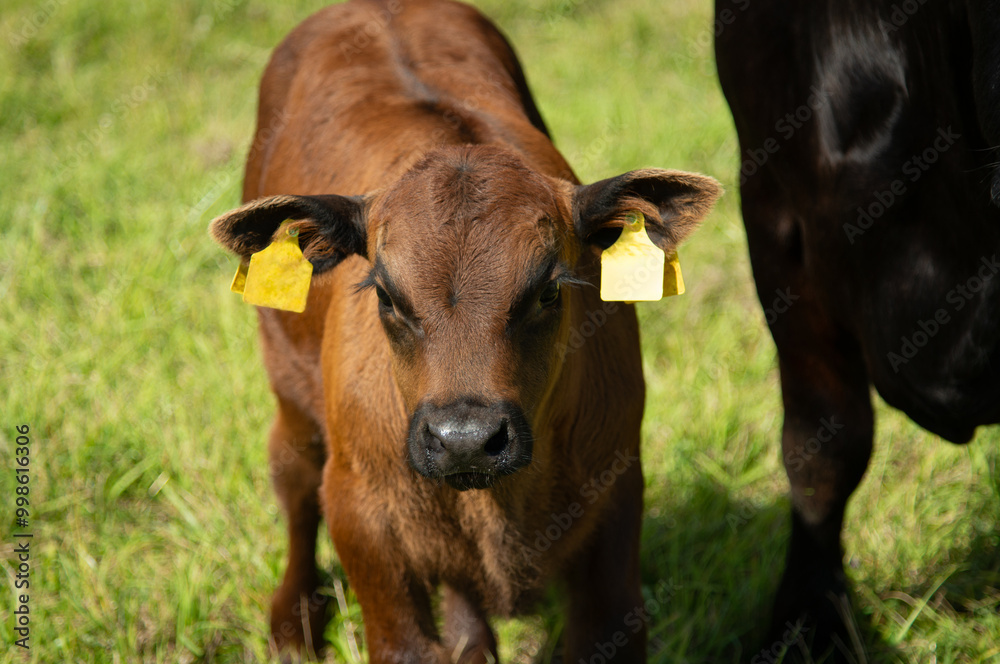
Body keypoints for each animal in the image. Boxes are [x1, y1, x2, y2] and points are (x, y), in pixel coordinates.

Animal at [210, 0, 720, 661]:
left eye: (549, 289)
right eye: (385, 294)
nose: (466, 440)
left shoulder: (615, 507)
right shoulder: (363, 521)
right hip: (288, 383)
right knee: (294, 477)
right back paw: (292, 622)